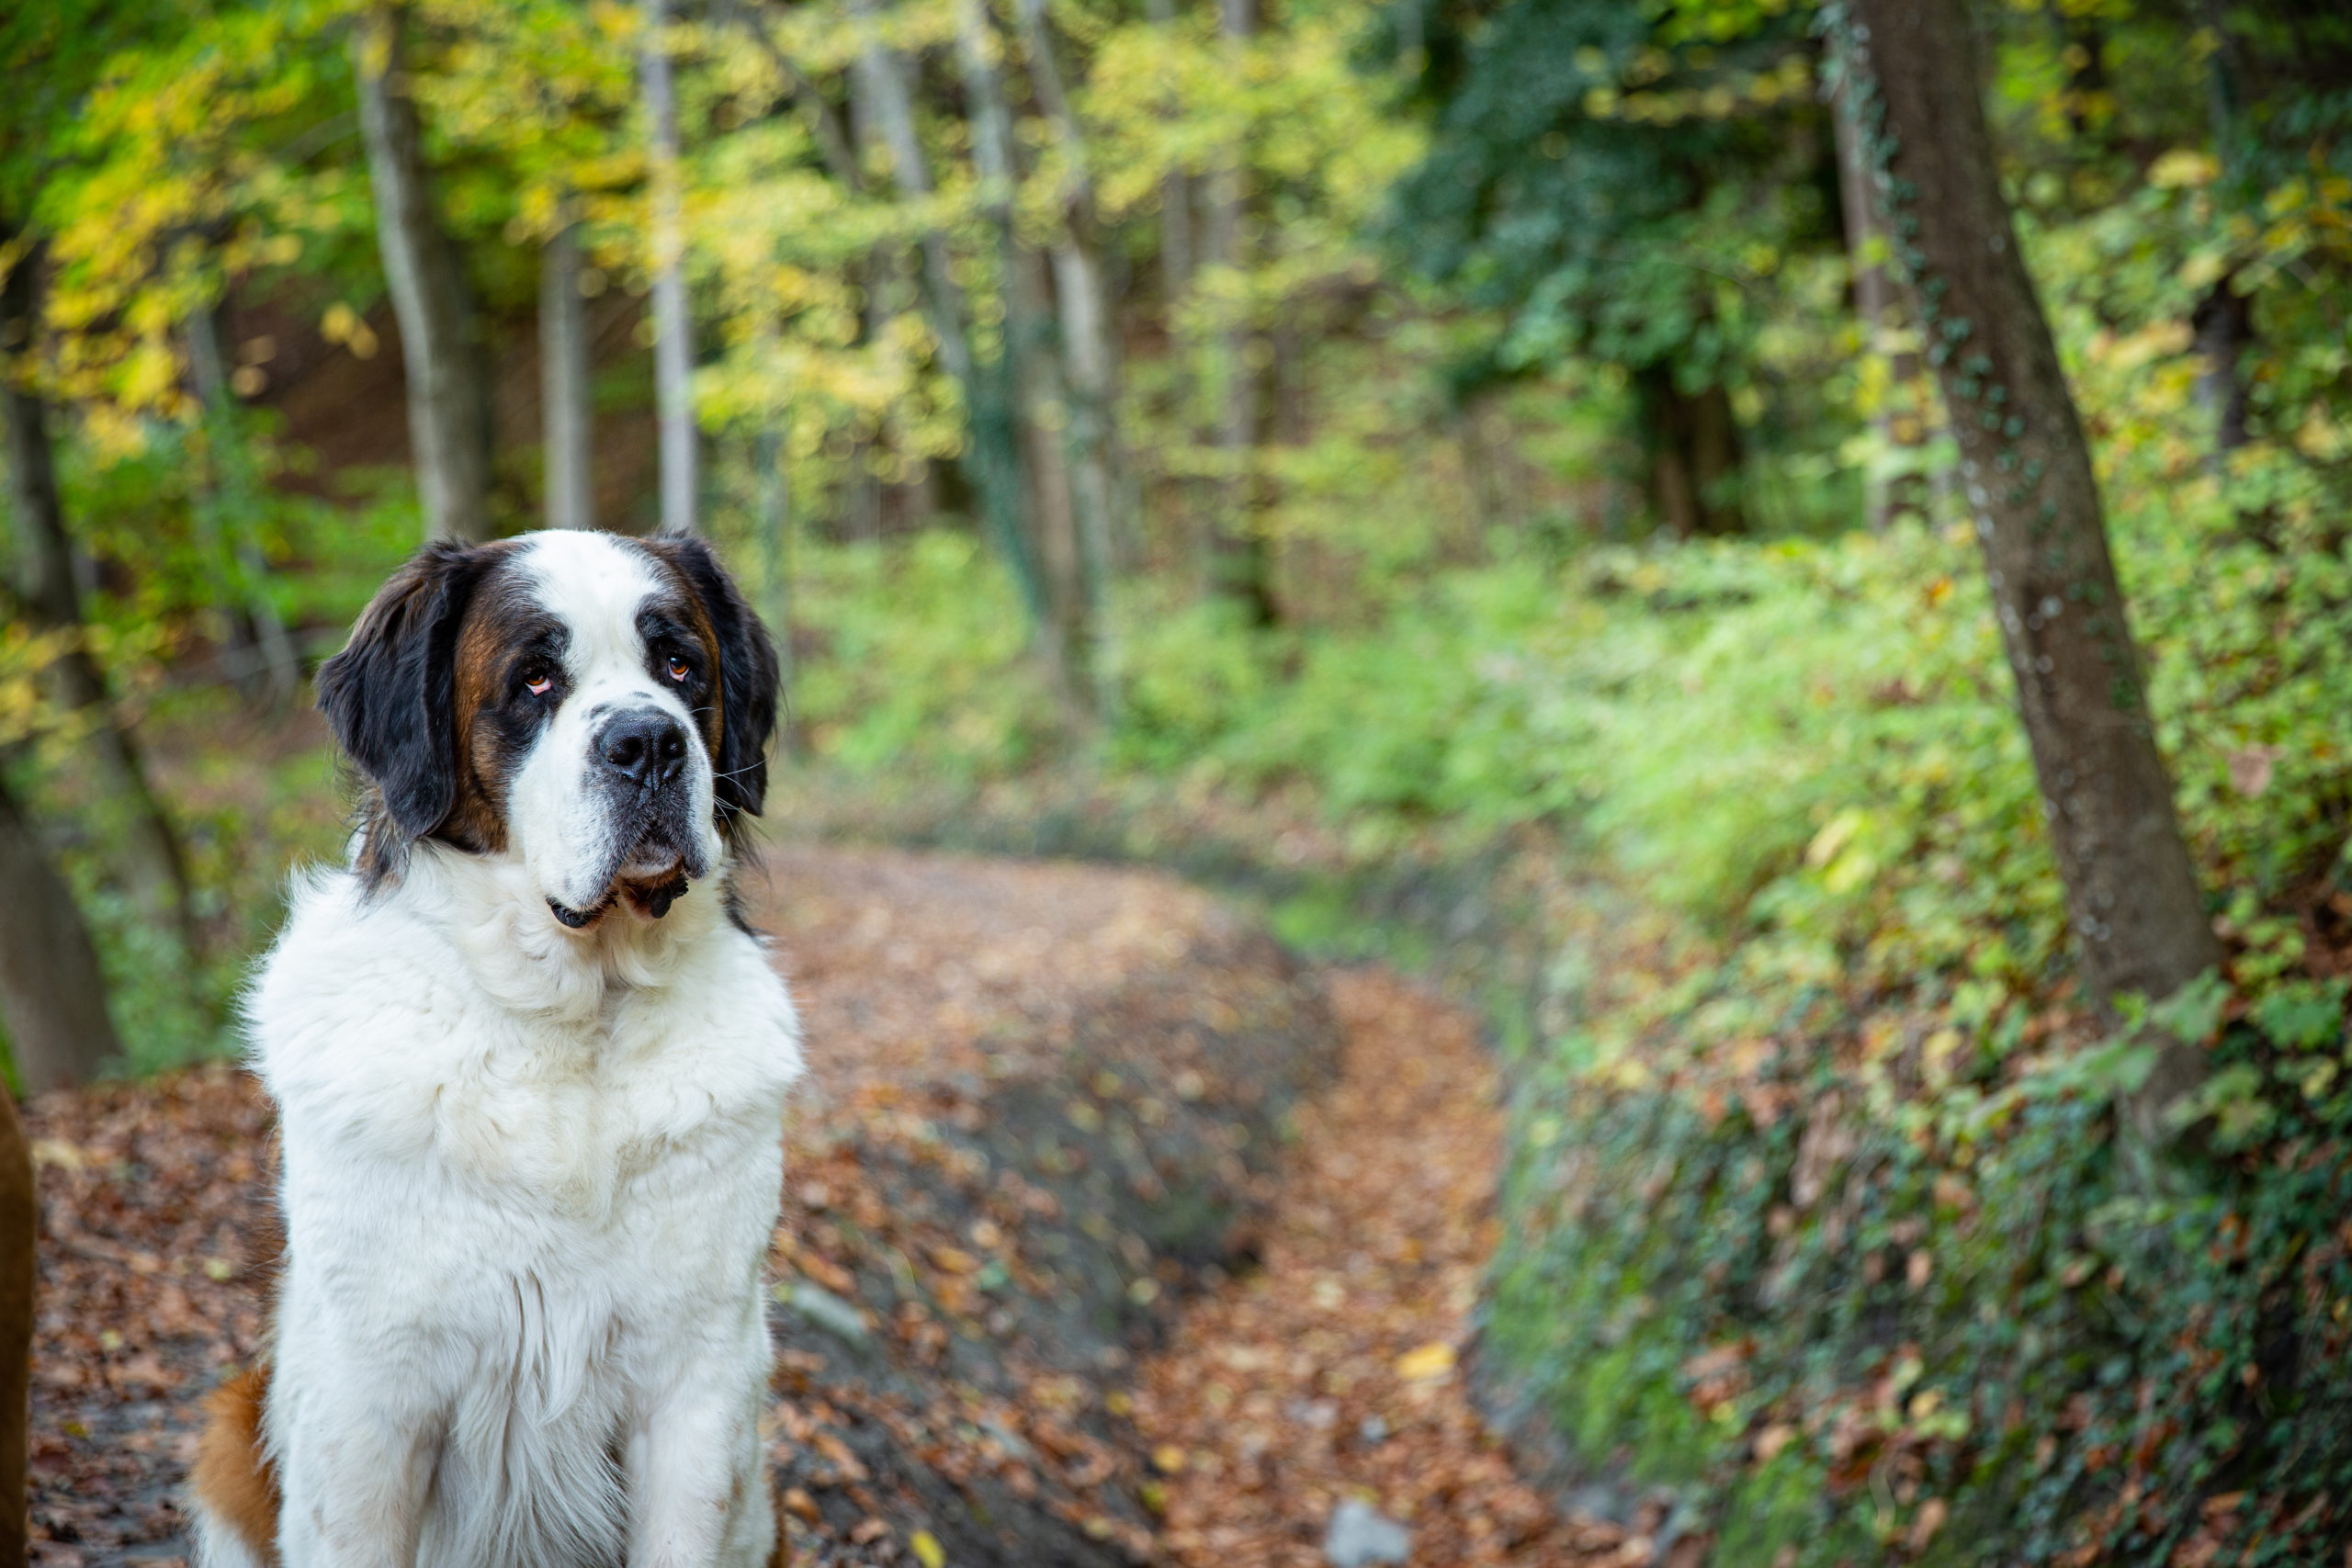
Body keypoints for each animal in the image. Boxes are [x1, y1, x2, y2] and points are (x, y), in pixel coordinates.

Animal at [187, 531, 808, 1568]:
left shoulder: (699, 1386)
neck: (570, 1019)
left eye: (681, 667)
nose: (648, 742)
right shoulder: (370, 1404)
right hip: (232, 1435)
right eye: (535, 681)